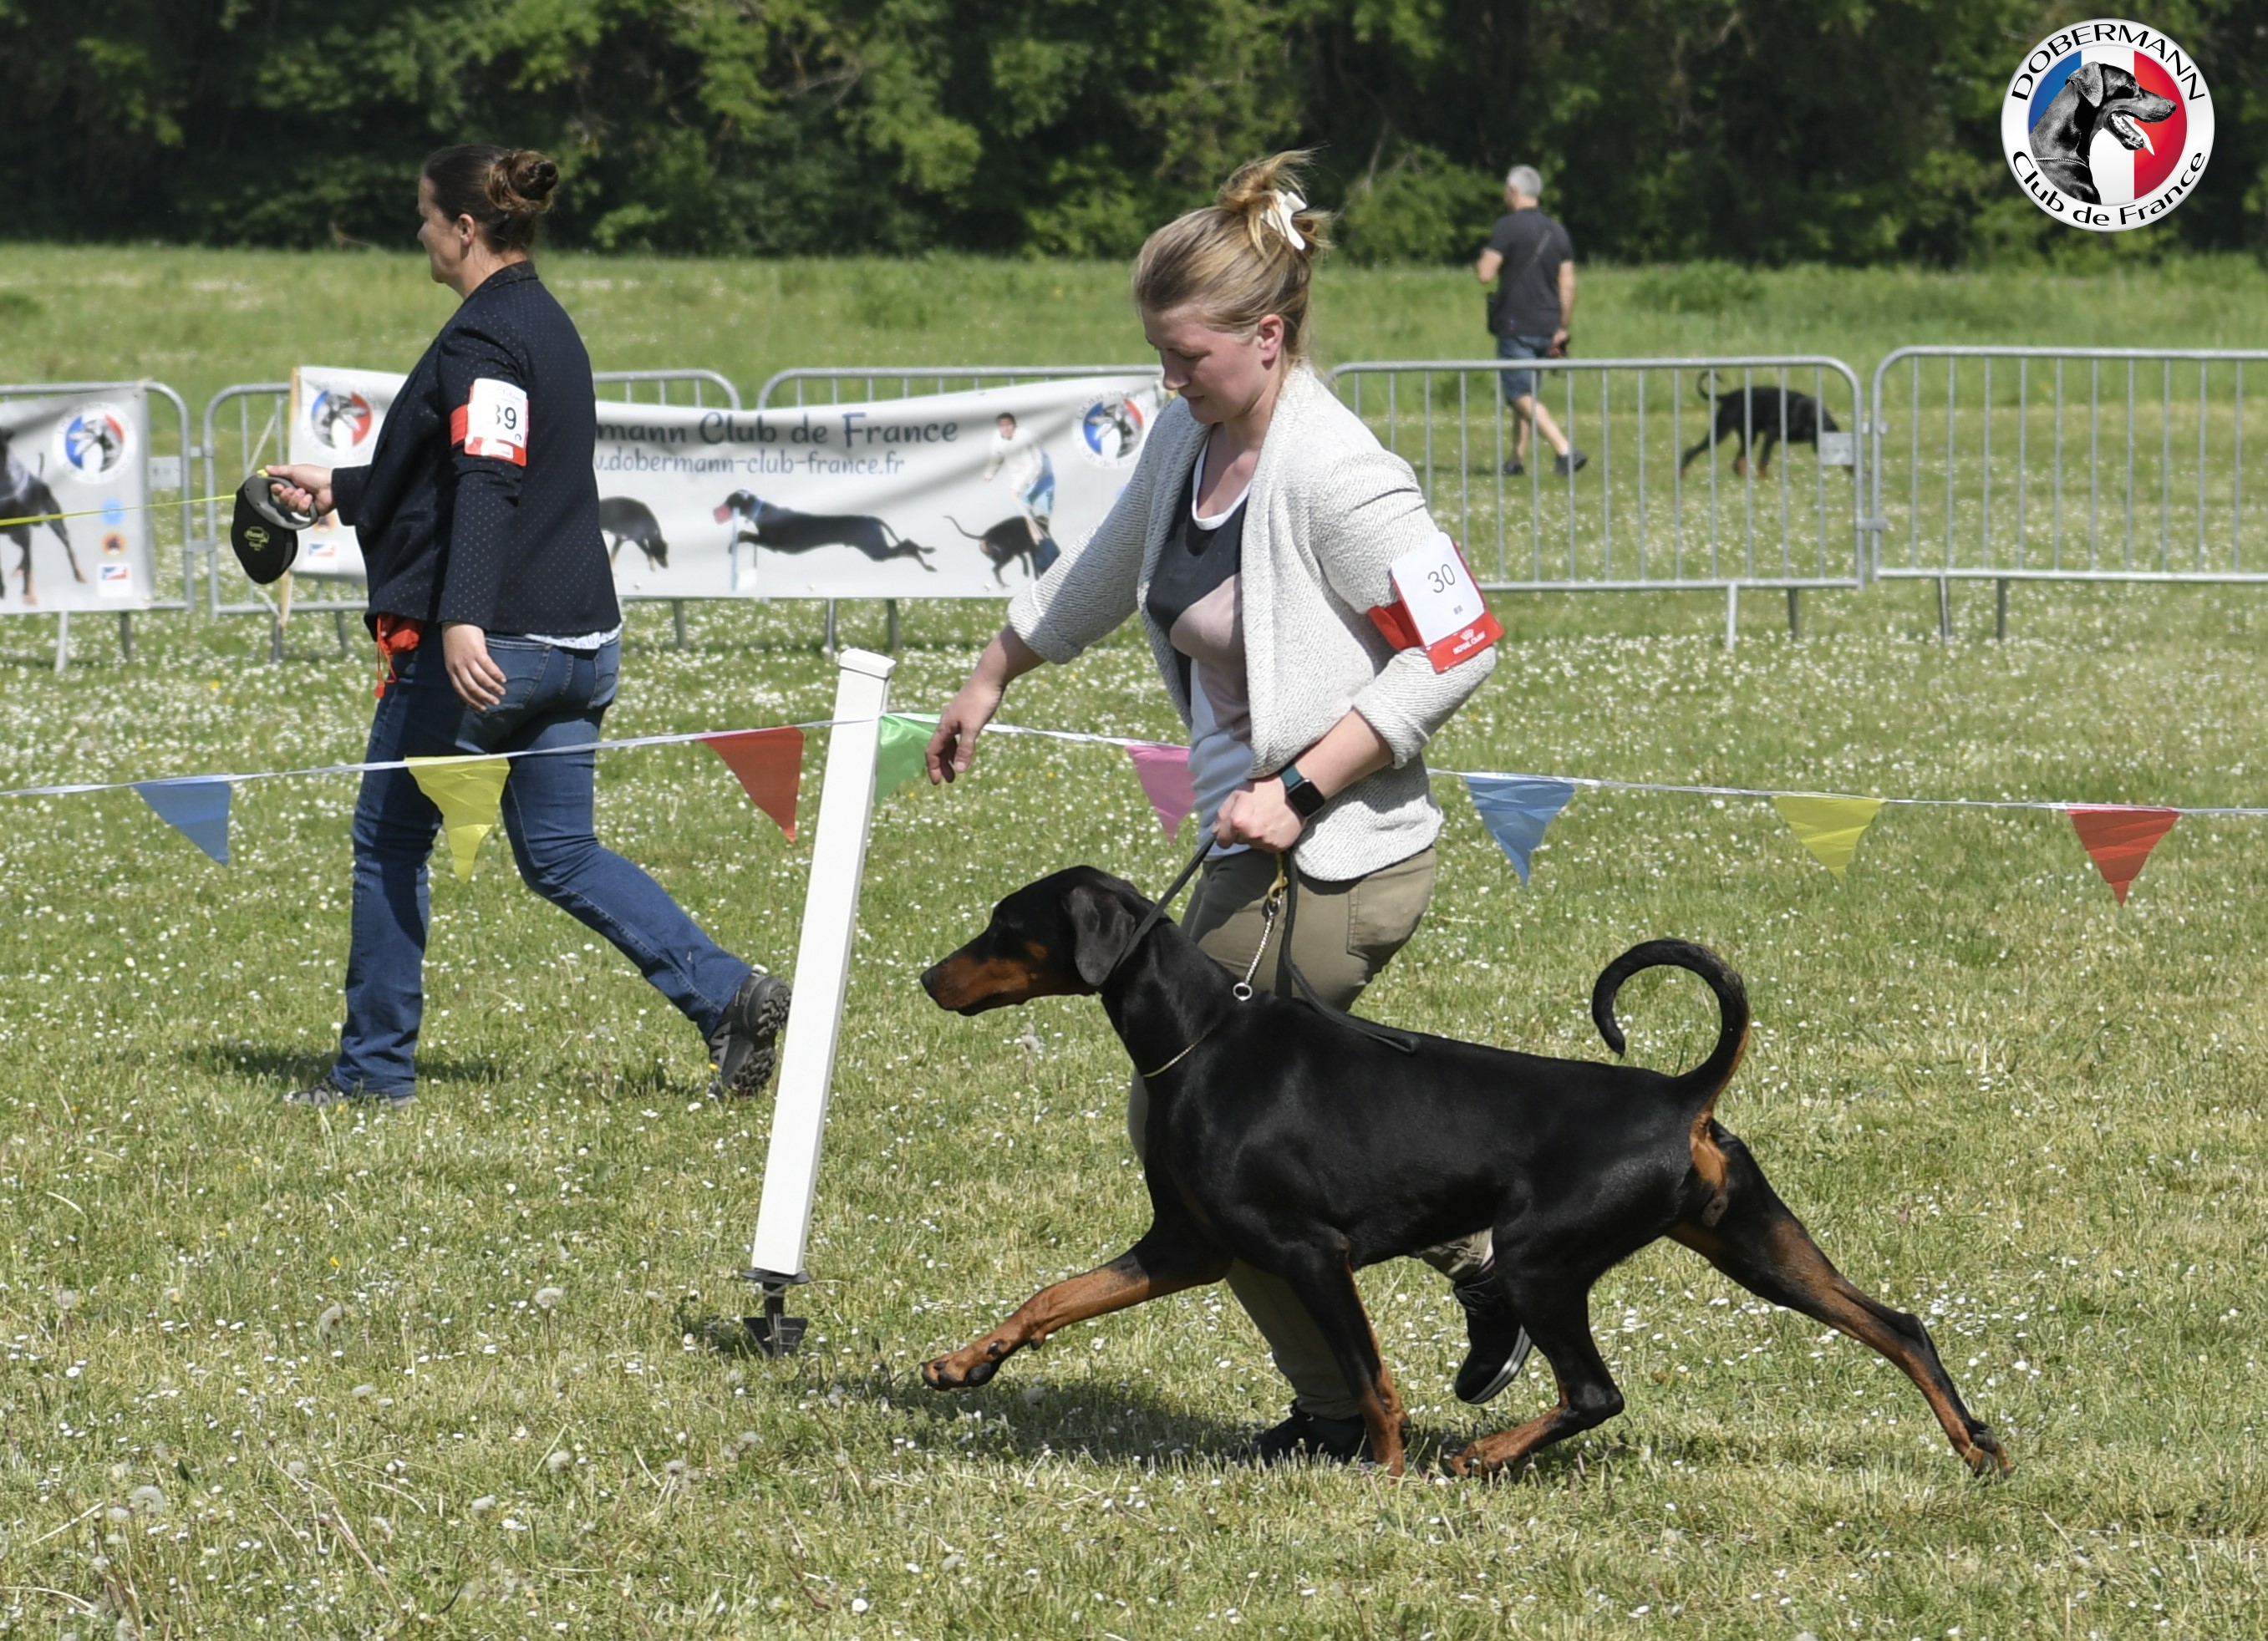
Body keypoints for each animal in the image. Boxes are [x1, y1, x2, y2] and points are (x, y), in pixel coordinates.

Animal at [0, 429, 85, 603]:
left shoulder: (23, 529)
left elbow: (29, 564)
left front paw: (30, 596)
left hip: (56, 522)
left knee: (68, 548)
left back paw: (79, 575)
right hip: (15, 535)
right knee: (24, 552)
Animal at [712, 489, 935, 572]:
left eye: (729, 501)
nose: (715, 512)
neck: (763, 512)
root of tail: (871, 519)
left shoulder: (771, 544)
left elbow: (744, 535)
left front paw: (732, 547)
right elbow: (744, 534)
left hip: (876, 550)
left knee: (907, 546)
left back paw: (927, 564)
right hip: (877, 549)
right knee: (907, 543)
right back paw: (927, 556)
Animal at [918, 867, 2011, 1481]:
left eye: (1004, 923)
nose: (926, 975)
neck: (1199, 1038)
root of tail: (1677, 1093)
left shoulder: (1310, 1253)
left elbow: (1371, 1380)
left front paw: (1384, 1475)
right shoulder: (1185, 1246)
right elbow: (1055, 1293)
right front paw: (967, 1361)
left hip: (1538, 1260)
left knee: (1594, 1392)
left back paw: (1482, 1454)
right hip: (1756, 1246)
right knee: (1897, 1325)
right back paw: (1974, 1446)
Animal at [945, 514, 1059, 584]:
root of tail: (984, 537)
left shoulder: (1021, 550)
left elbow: (1024, 559)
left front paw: (1027, 573)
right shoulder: (1031, 549)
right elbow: (1032, 562)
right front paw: (1036, 576)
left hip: (1000, 556)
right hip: (1006, 556)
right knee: (995, 569)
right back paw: (1003, 584)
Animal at [1680, 382, 1839, 478]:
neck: (1811, 415)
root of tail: (1728, 396)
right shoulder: (1772, 433)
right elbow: (1764, 460)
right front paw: (1765, 479)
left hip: (1750, 436)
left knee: (1737, 463)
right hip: (1721, 431)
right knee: (1691, 452)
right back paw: (1682, 475)